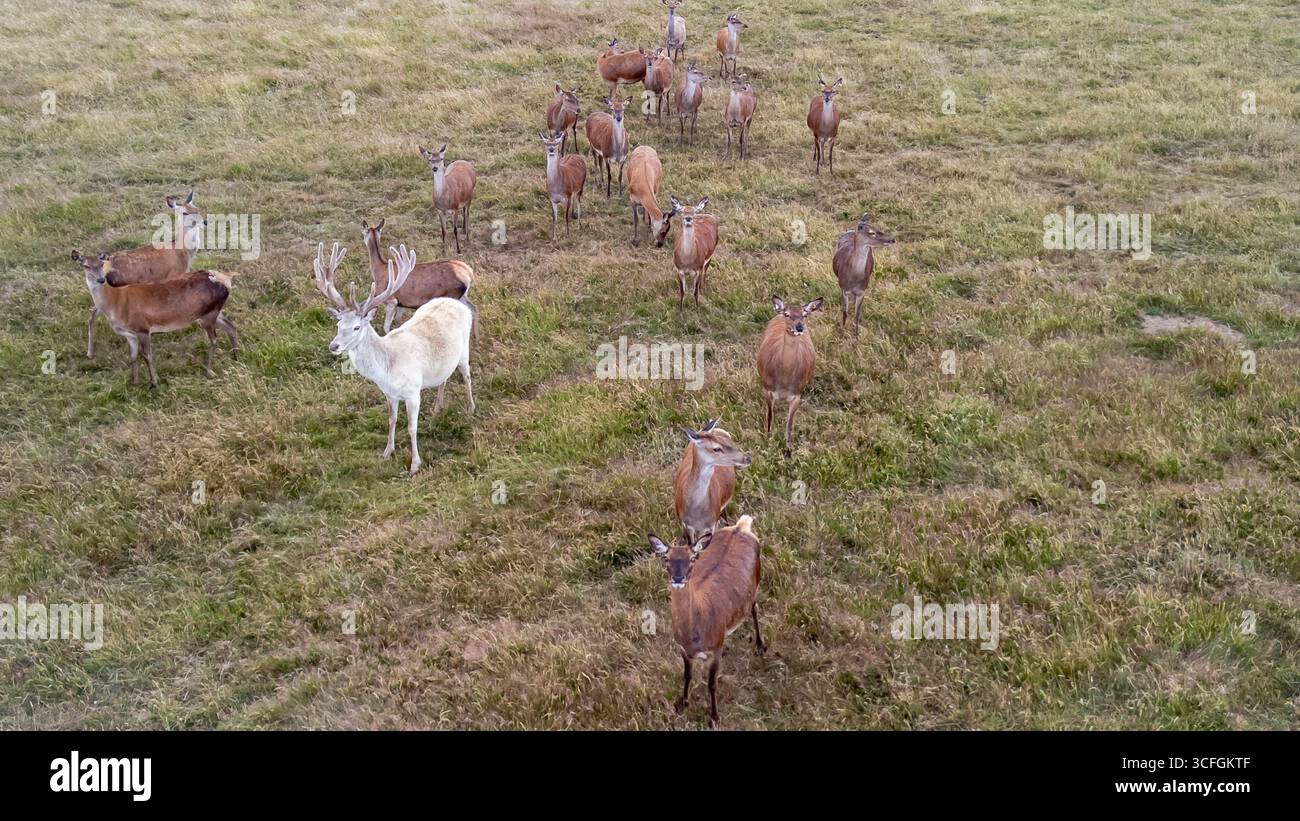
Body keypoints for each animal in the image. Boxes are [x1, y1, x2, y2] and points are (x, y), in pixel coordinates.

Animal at [72, 251, 238, 387]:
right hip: (212, 311)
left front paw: (154, 383)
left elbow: (147, 356)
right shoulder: (129, 334)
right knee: (231, 325)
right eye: (85, 266)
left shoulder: (143, 328)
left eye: (101, 264)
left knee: (214, 339)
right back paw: (236, 356)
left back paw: (208, 371)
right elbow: (133, 356)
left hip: (209, 314)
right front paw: (135, 382)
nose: (101, 280)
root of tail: (227, 279)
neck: (117, 303)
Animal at [84, 192, 206, 358]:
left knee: (92, 315)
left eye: (197, 208)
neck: (182, 251)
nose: (205, 221)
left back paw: (90, 352)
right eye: (185, 212)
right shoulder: (174, 275)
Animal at [312, 241, 474, 475]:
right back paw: (437, 408)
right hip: (444, 361)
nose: (334, 346)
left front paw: (415, 464)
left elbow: (412, 427)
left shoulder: (413, 392)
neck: (388, 367)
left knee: (467, 375)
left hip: (464, 350)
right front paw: (387, 451)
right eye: (338, 324)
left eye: (357, 327)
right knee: (444, 377)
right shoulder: (389, 393)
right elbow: (392, 419)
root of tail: (455, 302)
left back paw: (470, 407)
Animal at [647, 515, 764, 727]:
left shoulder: (716, 648)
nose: (678, 578)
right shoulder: (682, 649)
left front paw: (714, 718)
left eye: (692, 558)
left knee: (754, 608)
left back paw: (760, 645)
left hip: (757, 580)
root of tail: (741, 526)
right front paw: (682, 703)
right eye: (666, 558)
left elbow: (712, 684)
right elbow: (687, 674)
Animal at [757, 296, 822, 454]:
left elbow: (790, 424)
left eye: (805, 315)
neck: (784, 382)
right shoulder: (767, 389)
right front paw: (768, 441)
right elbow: (769, 416)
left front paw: (788, 449)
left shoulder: (797, 394)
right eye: (787, 314)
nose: (799, 328)